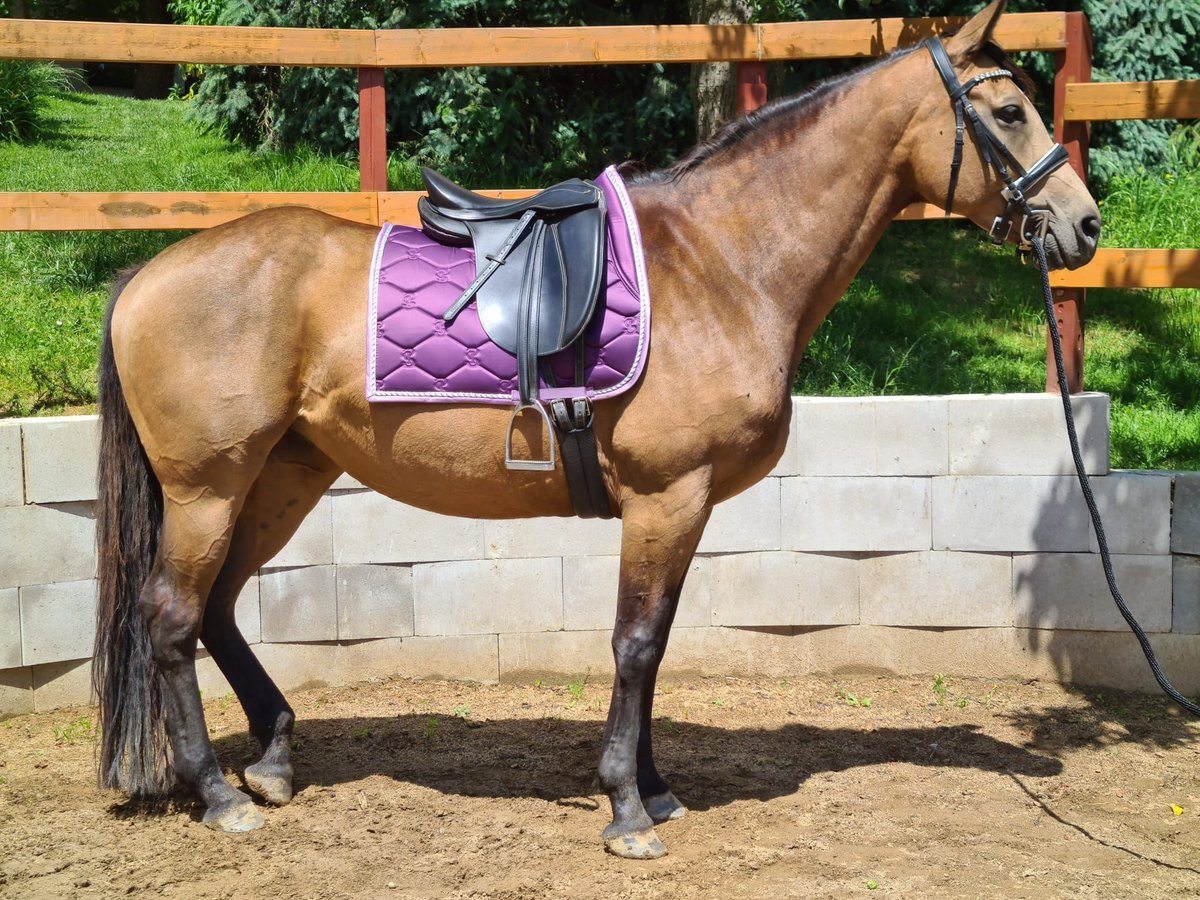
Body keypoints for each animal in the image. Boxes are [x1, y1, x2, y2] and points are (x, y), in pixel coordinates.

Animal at [93, 0, 1099, 859]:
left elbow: (654, 645)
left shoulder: (683, 507)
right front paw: (625, 808)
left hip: (284, 476)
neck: (724, 263)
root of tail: (147, 275)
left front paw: (653, 789)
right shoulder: (666, 497)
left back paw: (269, 760)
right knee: (171, 615)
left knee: (219, 606)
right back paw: (216, 793)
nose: (1084, 226)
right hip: (208, 487)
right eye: (1008, 110)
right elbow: (636, 643)